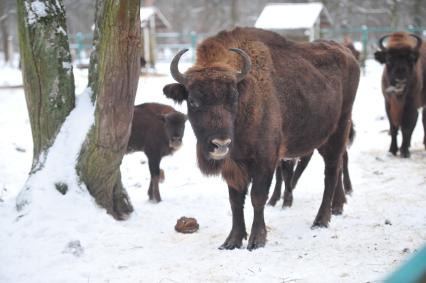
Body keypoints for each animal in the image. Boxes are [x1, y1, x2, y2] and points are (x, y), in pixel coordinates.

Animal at [163, 27, 360, 251]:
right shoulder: (233, 166)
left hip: (338, 131)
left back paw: (321, 220)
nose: (220, 144)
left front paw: (257, 240)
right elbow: (235, 201)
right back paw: (337, 207)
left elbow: (257, 197)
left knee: (331, 172)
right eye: (193, 101)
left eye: (233, 98)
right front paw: (232, 241)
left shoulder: (265, 160)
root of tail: (348, 55)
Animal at [374, 32, 424, 160]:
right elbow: (394, 127)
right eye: (388, 59)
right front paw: (392, 150)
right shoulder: (388, 103)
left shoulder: (412, 105)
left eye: (410, 58)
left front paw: (405, 152)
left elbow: (407, 127)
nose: (400, 78)